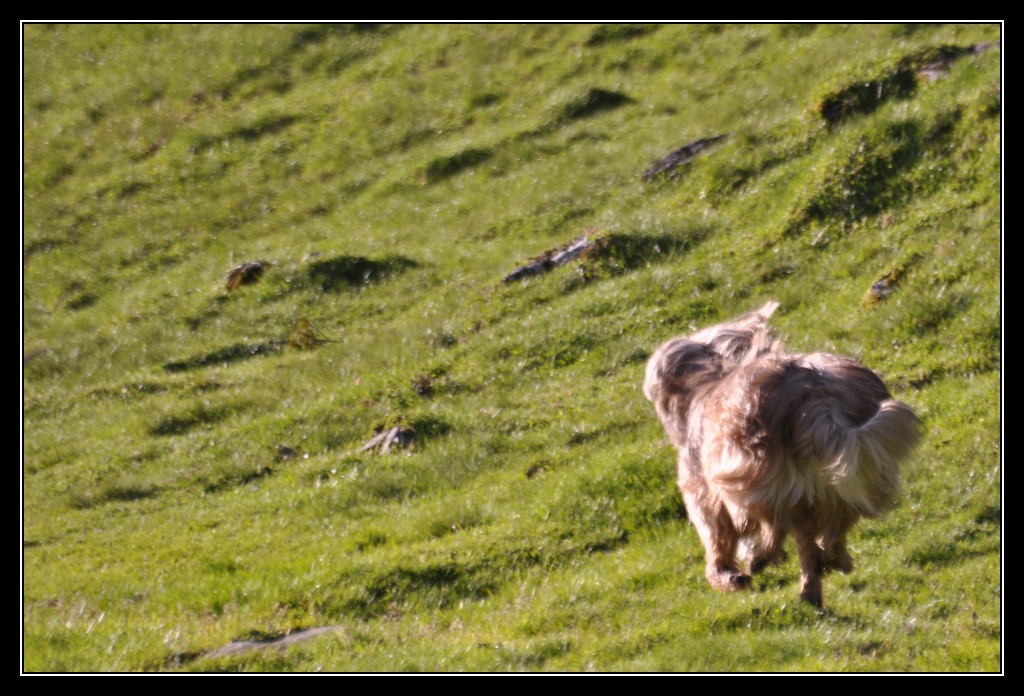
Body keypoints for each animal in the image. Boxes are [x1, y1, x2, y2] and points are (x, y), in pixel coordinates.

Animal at [638, 300, 921, 605]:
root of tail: (819, 396)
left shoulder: (704, 493)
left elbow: (718, 538)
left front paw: (726, 574)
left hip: (754, 477)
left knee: (772, 525)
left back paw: (760, 560)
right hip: (839, 479)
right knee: (828, 530)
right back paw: (826, 568)